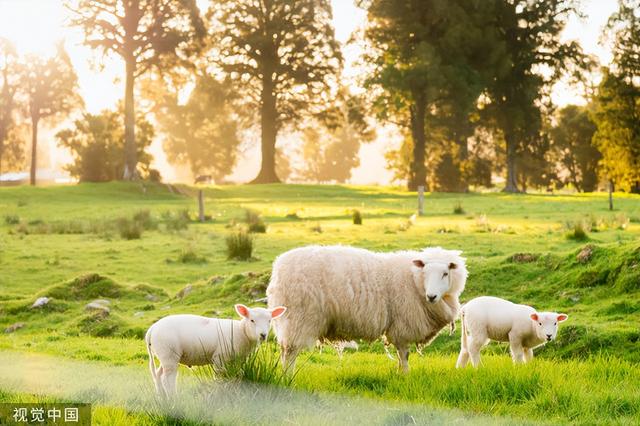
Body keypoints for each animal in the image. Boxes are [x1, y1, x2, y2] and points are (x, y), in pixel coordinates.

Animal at [146, 302, 286, 396]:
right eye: (252, 320)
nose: (263, 335)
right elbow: (219, 377)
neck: (241, 332)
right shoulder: (219, 357)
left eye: (269, 321)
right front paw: (219, 391)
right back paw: (173, 398)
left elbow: (238, 375)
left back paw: (162, 397)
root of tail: (151, 329)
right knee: (167, 379)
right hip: (169, 353)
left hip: (165, 355)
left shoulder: (238, 360)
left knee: (158, 375)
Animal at [264, 245, 464, 372]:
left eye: (445, 273)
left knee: (285, 349)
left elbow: (401, 356)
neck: (414, 281)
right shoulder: (402, 325)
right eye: (425, 272)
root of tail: (278, 268)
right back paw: (287, 376)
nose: (431, 296)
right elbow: (404, 355)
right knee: (289, 352)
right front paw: (405, 375)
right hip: (298, 318)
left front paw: (400, 374)